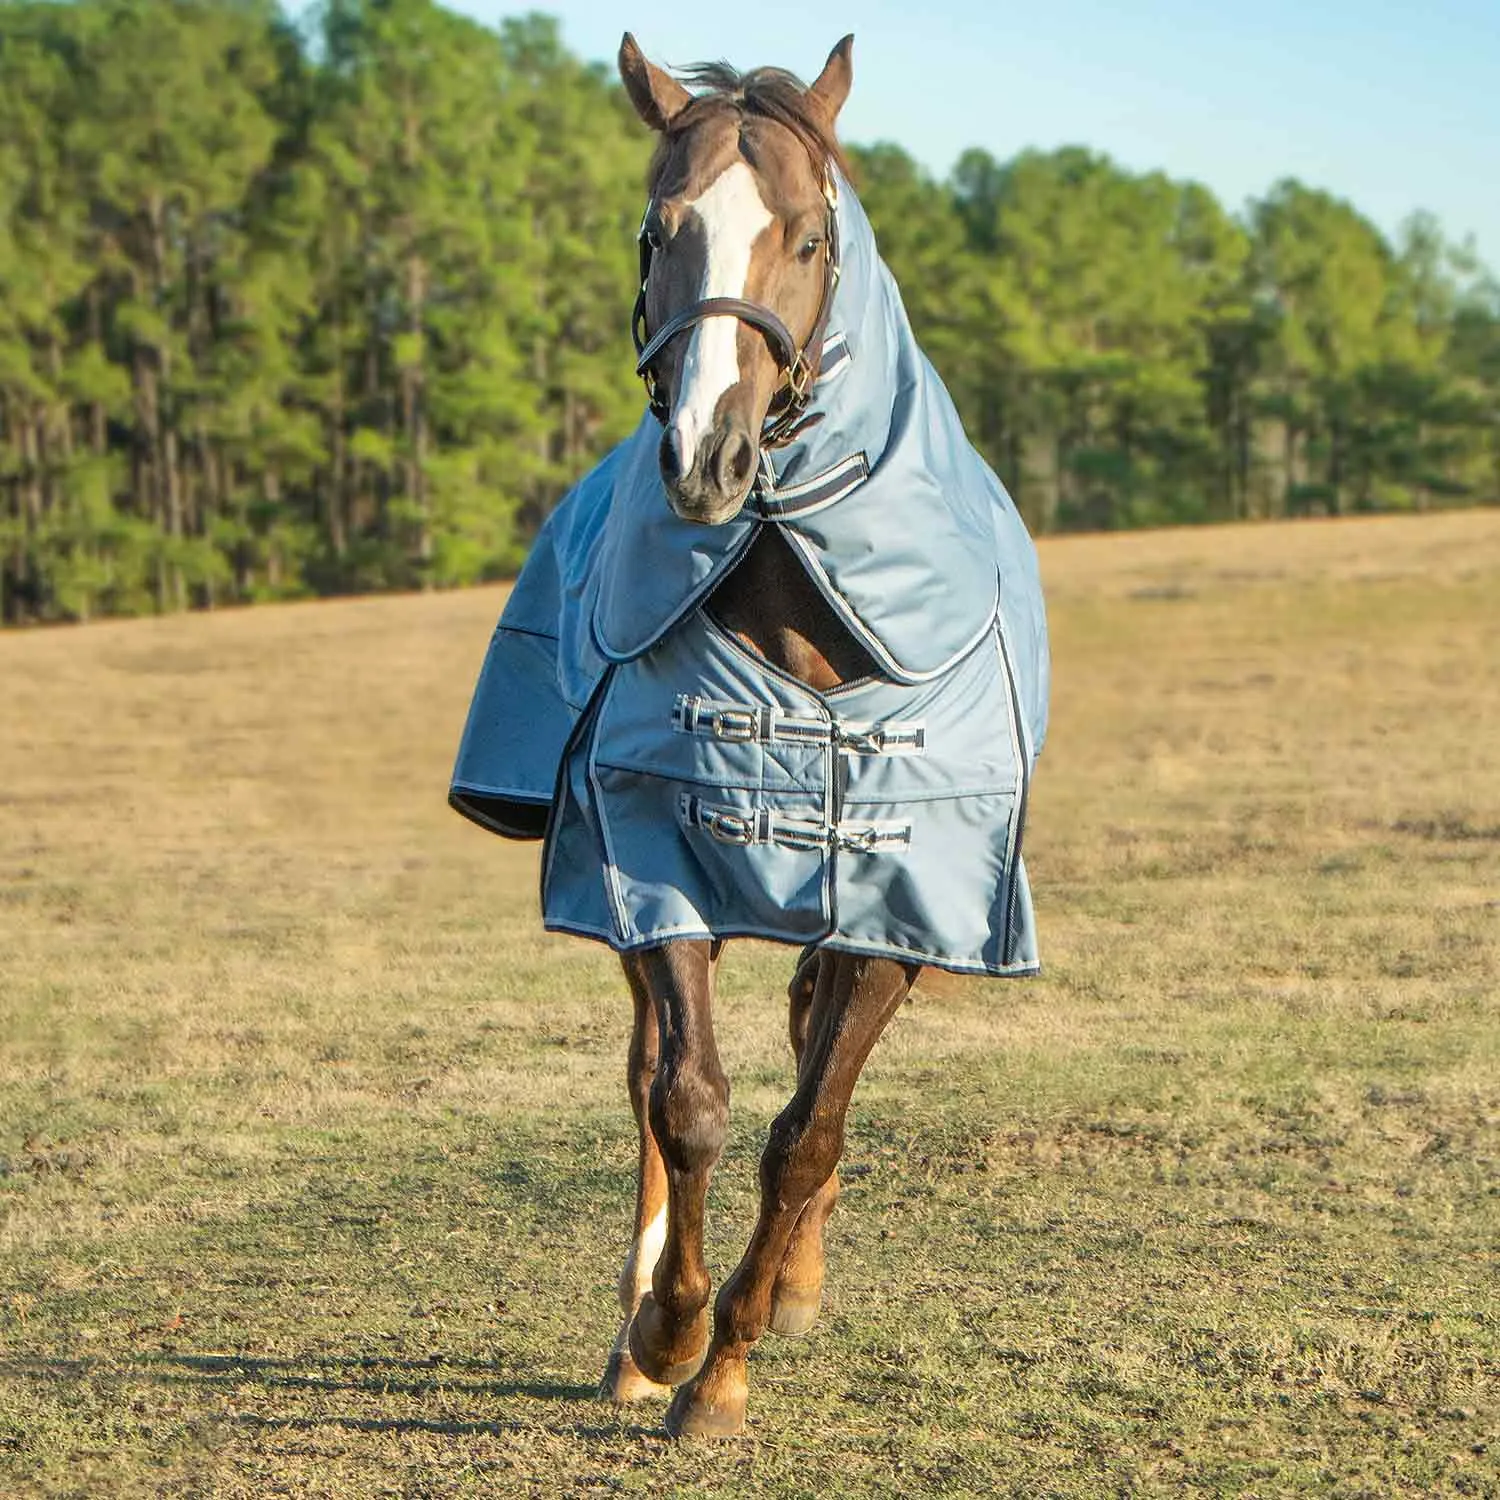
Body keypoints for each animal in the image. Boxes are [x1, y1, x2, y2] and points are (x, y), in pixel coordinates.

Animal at [450, 38, 1050, 1440]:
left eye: (811, 235)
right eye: (658, 229)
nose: (706, 458)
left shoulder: (900, 902)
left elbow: (808, 1128)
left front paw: (731, 1356)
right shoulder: (652, 862)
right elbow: (690, 1103)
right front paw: (670, 1335)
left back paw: (785, 1287)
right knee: (648, 1079)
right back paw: (643, 1324)